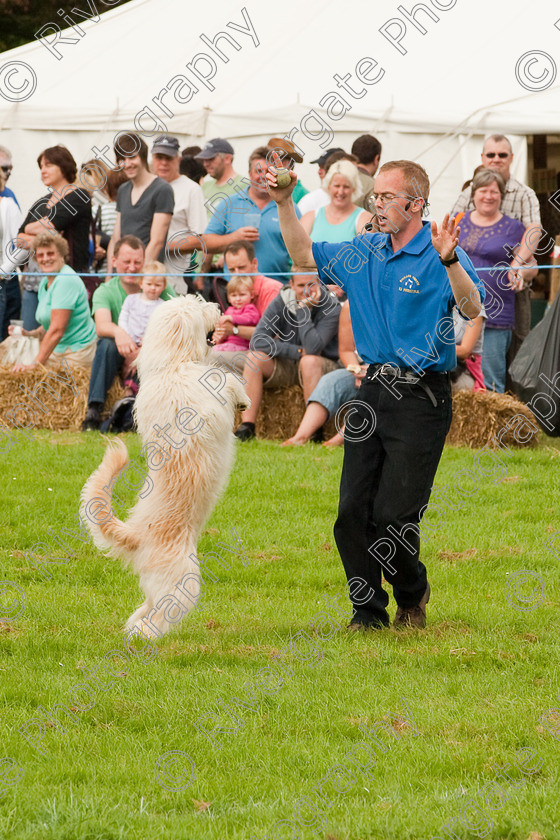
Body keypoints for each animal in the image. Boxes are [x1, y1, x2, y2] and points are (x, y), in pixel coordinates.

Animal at [81, 296, 249, 636]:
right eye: (198, 305)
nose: (218, 305)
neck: (173, 365)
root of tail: (134, 534)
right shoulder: (205, 392)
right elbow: (224, 377)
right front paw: (243, 398)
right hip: (182, 581)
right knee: (160, 615)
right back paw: (145, 634)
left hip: (156, 584)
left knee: (147, 605)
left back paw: (134, 625)